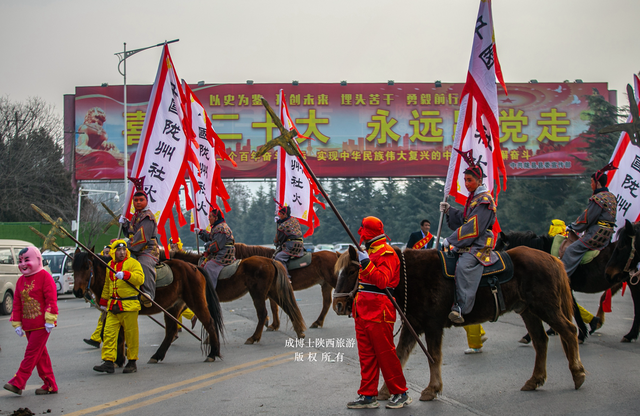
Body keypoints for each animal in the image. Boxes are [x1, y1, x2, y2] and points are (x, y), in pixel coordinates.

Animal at [70, 249, 222, 362]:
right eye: (73, 268)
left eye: (87, 267)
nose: (77, 291)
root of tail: (194, 267)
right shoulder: (112, 311)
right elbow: (115, 333)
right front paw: (119, 358)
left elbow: (119, 334)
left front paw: (120, 358)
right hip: (173, 306)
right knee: (171, 330)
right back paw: (157, 355)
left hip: (196, 301)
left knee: (209, 322)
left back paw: (213, 353)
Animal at [170, 250, 304, 344]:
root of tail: (270, 261)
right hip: (273, 291)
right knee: (289, 307)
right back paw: (299, 331)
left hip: (257, 293)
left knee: (263, 314)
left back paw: (253, 338)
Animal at [332, 247, 588, 400]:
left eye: (353, 270)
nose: (338, 305)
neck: (408, 275)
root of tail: (552, 258)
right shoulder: (412, 325)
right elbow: (399, 354)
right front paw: (386, 390)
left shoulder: (432, 326)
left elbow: (433, 357)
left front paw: (432, 388)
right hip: (528, 310)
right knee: (541, 341)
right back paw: (535, 379)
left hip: (546, 307)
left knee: (569, 330)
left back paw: (577, 373)